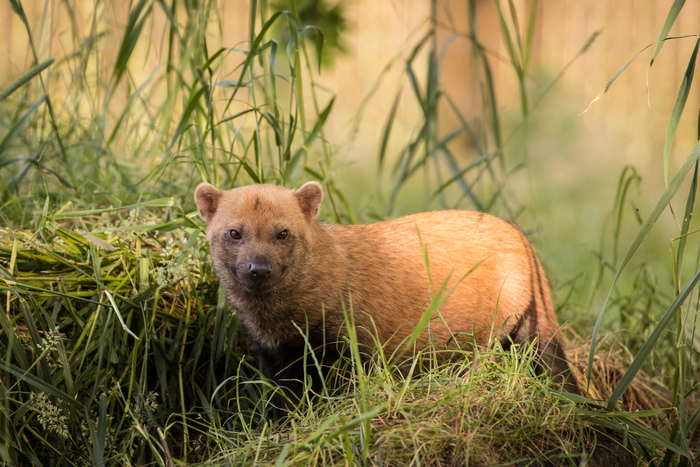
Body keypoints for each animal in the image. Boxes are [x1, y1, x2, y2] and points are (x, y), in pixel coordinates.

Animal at [194, 181, 576, 408]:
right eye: (234, 232)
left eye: (283, 232)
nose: (258, 268)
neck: (283, 325)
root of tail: (518, 234)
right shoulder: (273, 359)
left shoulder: (350, 346)